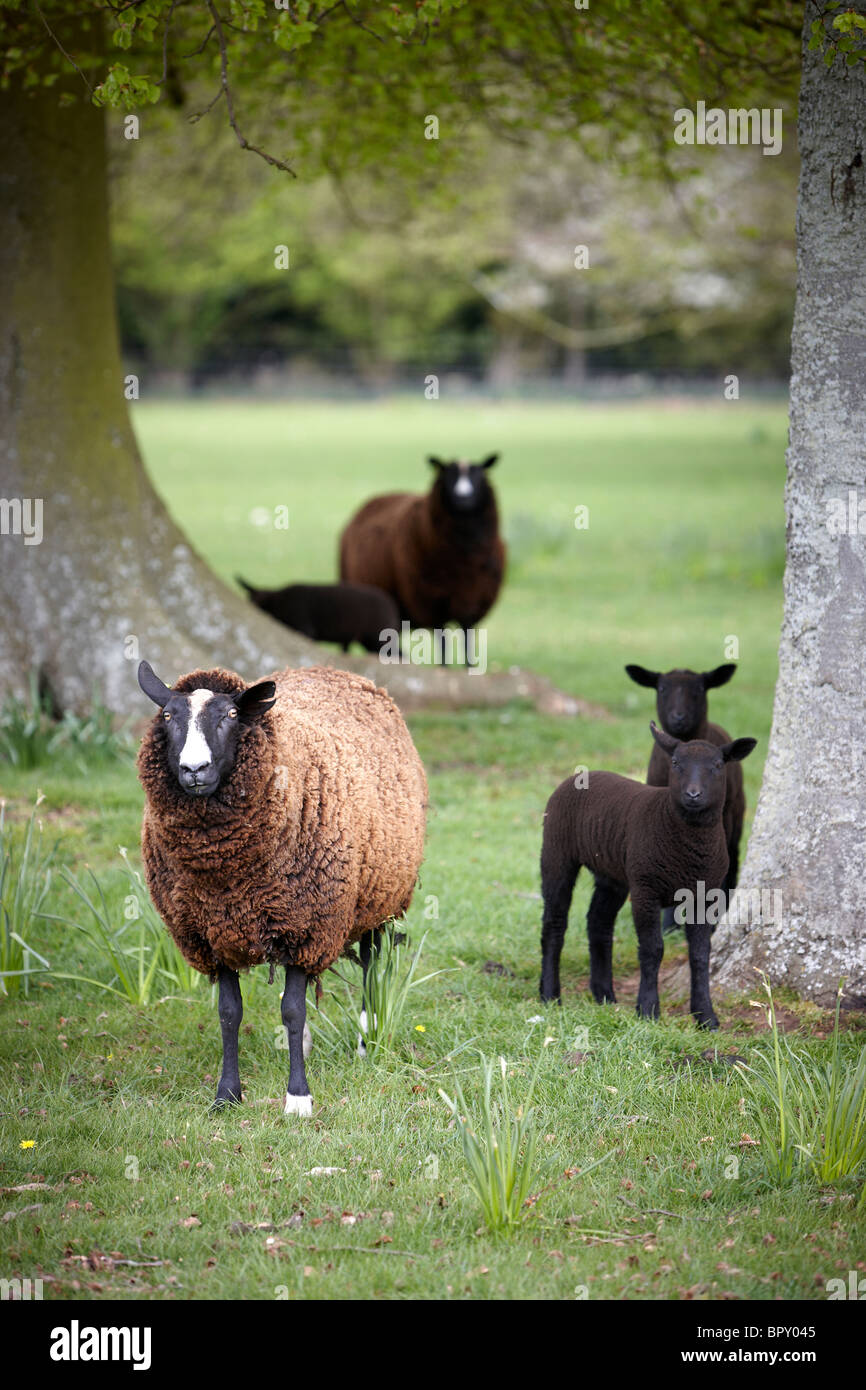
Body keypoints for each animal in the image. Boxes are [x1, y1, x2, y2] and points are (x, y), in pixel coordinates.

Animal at [136, 661, 430, 1117]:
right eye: (167, 716)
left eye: (231, 715)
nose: (194, 770)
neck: (225, 878)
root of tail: (332, 669)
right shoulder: (213, 934)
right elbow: (229, 1013)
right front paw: (226, 1095)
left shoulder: (307, 925)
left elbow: (292, 1011)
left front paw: (298, 1098)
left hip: (373, 898)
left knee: (368, 966)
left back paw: (365, 1043)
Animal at [335, 453, 505, 664]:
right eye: (447, 475)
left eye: (479, 476)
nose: (463, 498)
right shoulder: (434, 603)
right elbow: (443, 644)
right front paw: (444, 667)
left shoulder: (470, 602)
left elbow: (467, 642)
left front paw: (470, 667)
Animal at [539, 728, 756, 1034]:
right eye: (675, 763)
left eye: (717, 765)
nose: (693, 794)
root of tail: (580, 776)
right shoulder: (646, 890)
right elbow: (653, 950)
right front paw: (648, 1010)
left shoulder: (703, 895)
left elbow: (700, 955)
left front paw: (705, 1017)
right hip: (557, 852)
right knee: (554, 922)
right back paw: (550, 995)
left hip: (612, 873)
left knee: (598, 922)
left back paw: (604, 994)